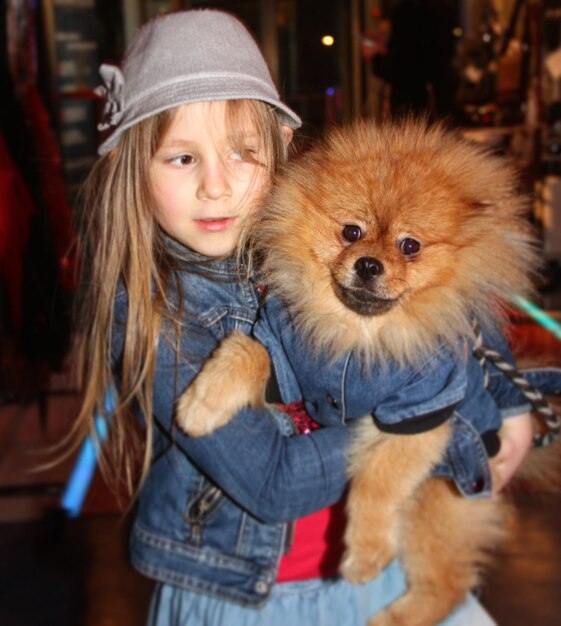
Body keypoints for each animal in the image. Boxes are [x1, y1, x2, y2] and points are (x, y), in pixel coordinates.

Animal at [174, 118, 556, 624]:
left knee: (446, 583)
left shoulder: (420, 413)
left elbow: (377, 483)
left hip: (436, 501)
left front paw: (365, 555)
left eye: (410, 246)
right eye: (351, 232)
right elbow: (247, 351)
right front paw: (202, 403)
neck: (359, 341)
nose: (370, 264)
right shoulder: (289, 361)